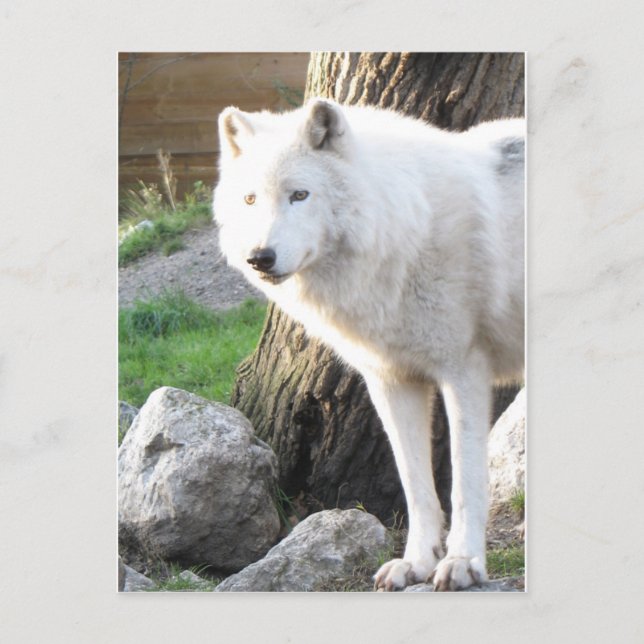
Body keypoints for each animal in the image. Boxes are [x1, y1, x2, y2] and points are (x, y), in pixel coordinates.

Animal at [213, 98, 525, 591]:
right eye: (250, 200)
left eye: (299, 195)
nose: (259, 258)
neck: (404, 231)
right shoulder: (392, 382)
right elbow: (415, 483)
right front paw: (415, 563)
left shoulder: (464, 372)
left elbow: (465, 481)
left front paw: (463, 563)